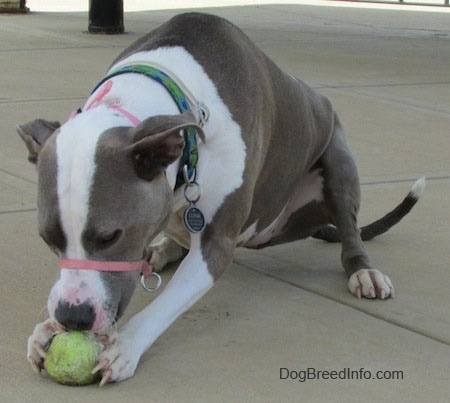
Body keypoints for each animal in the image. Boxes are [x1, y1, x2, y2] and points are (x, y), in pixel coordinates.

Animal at [18, 12, 426, 386]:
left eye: (110, 237)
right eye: (47, 238)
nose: (73, 317)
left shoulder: (217, 243)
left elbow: (167, 303)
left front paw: (126, 345)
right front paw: (46, 328)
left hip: (338, 159)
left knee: (349, 231)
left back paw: (364, 271)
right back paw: (162, 249)